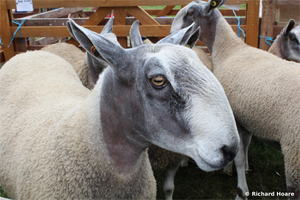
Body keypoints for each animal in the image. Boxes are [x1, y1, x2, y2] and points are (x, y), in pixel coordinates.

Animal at [170, 0, 300, 199]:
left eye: (190, 12)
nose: (171, 33)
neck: (229, 49)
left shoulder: (235, 117)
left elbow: (239, 155)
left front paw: (241, 190)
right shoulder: (245, 119)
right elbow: (243, 149)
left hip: (294, 154)